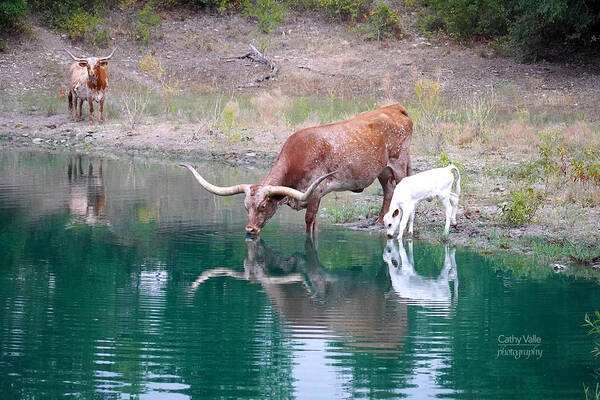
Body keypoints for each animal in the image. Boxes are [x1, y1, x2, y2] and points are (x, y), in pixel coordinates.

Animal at [178, 103, 412, 234]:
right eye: (246, 207)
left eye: (263, 206)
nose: (250, 230)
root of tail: (395, 108)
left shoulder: (316, 192)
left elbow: (309, 222)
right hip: (382, 170)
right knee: (388, 190)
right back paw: (380, 220)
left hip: (399, 164)